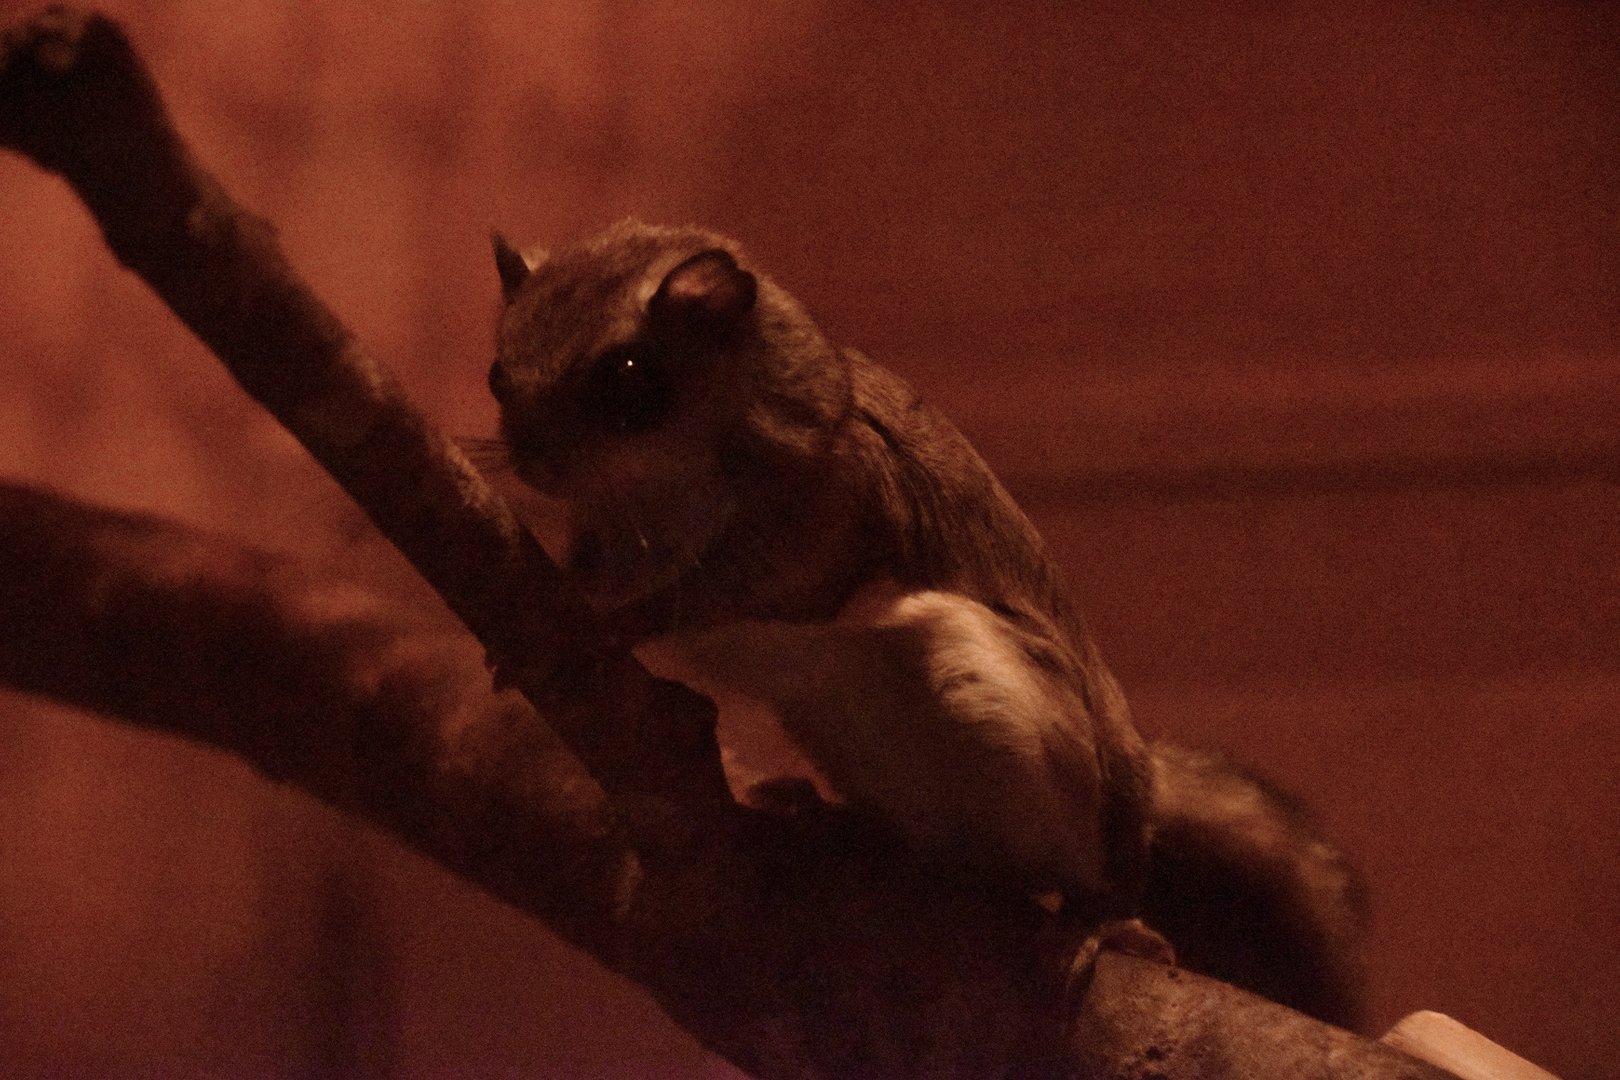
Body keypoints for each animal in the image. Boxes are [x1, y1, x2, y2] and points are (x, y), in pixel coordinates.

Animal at [479, 220, 1365, 1026]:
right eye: (496, 372)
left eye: (628, 376)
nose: (533, 463)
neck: (656, 484)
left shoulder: (831, 509)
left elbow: (745, 588)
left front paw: (607, 623)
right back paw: (829, 821)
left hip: (998, 704)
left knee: (1086, 872)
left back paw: (1100, 921)